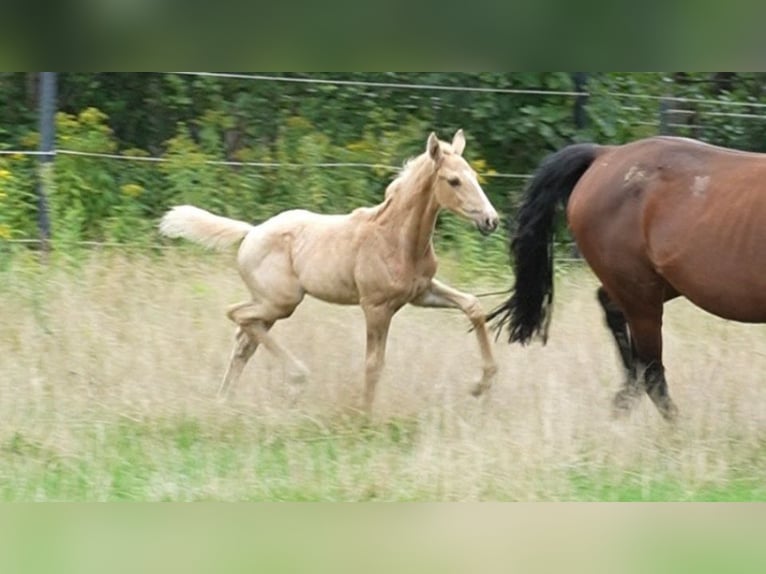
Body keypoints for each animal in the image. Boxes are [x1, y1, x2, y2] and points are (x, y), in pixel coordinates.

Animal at [160, 130, 500, 411]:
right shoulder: (376, 306)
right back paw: (295, 378)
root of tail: (251, 231)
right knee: (236, 315)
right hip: (280, 302)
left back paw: (225, 401)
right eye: (453, 181)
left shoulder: (422, 292)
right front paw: (365, 418)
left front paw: (481, 385)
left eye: (474, 176)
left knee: (244, 341)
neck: (397, 239)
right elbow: (373, 364)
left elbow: (473, 306)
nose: (491, 220)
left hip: (269, 306)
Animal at [488, 135, 766, 422]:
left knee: (614, 314)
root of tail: (604, 154)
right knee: (652, 370)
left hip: (654, 285)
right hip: (641, 295)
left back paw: (625, 398)